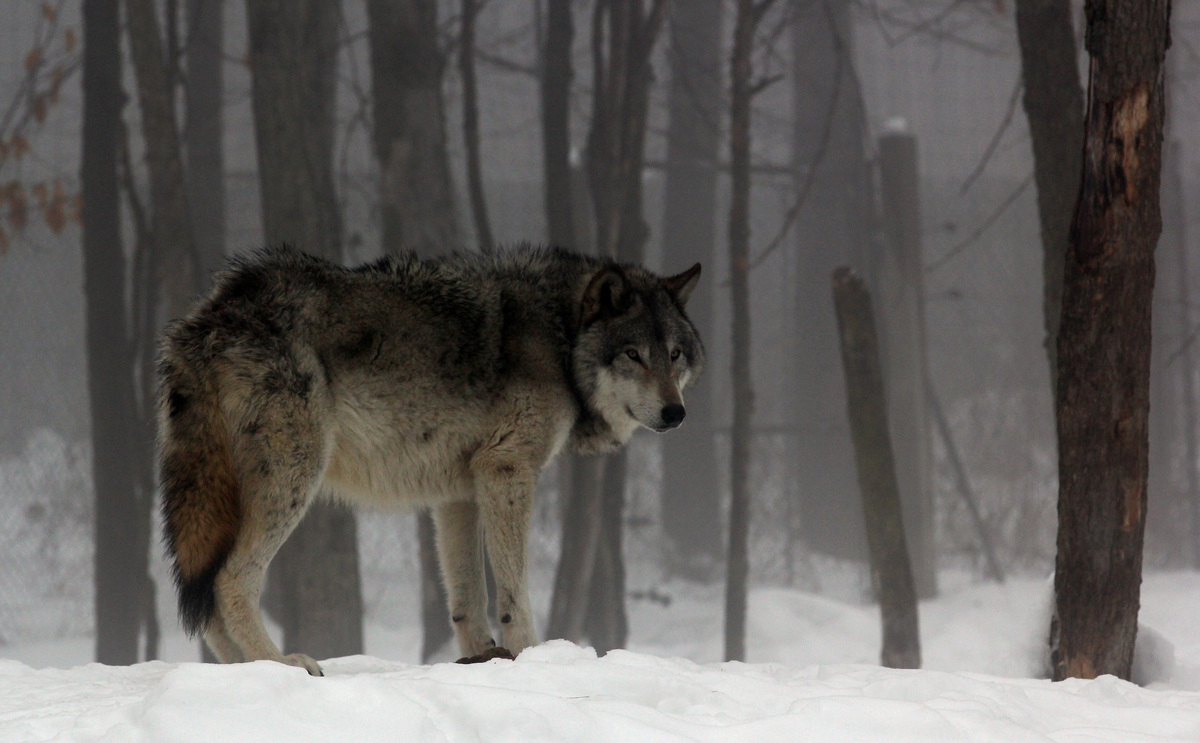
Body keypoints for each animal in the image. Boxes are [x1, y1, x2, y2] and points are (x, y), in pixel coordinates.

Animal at [156, 244, 704, 675]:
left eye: (675, 354)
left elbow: (468, 598)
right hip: (293, 479)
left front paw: (482, 660)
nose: (676, 412)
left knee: (206, 596)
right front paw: (529, 657)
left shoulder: (459, 493)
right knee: (230, 580)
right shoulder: (508, 469)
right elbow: (514, 592)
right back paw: (280, 664)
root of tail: (215, 310)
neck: (561, 337)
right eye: (633, 354)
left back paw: (243, 672)